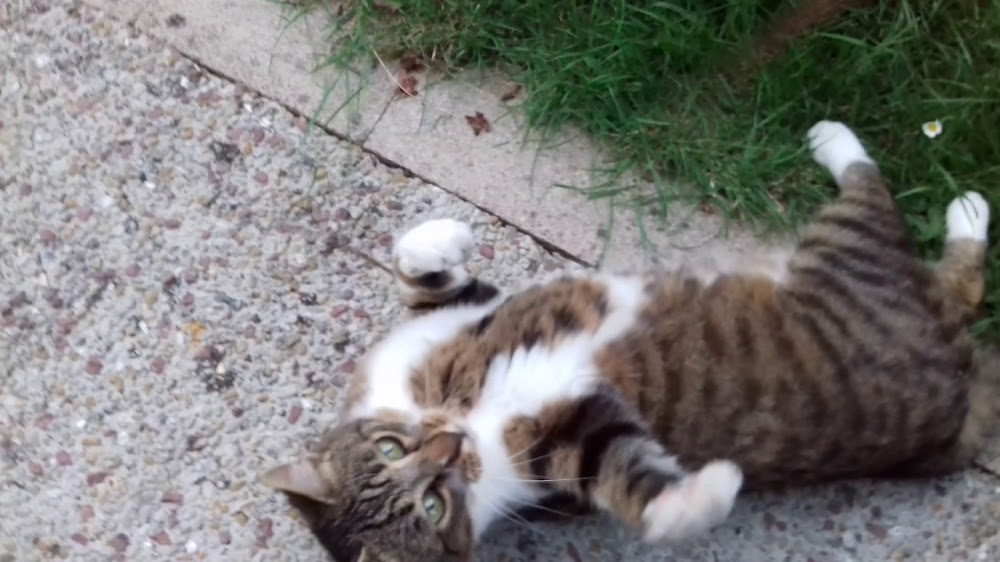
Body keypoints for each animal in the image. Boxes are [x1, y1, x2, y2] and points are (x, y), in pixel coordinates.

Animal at [262, 122, 996, 560]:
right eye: (434, 505)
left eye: (393, 446)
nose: (450, 447)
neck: (449, 409)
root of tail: (964, 385)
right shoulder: (573, 443)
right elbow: (639, 486)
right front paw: (711, 488)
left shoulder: (453, 317)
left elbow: (416, 268)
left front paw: (446, 238)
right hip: (845, 252)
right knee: (915, 236)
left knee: (937, 255)